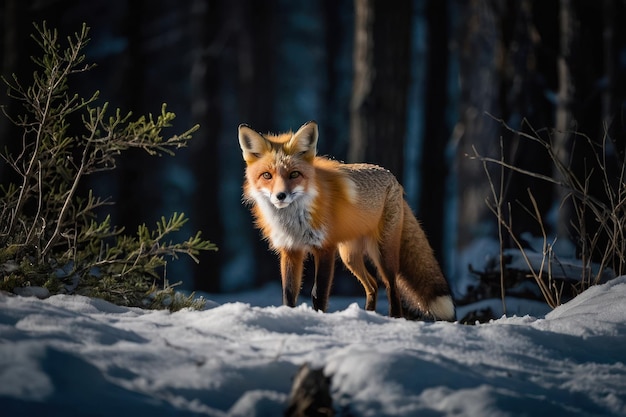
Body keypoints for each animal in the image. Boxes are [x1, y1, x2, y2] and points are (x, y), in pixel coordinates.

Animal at [238, 118, 454, 320]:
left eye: (294, 174)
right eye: (267, 175)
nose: (280, 196)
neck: (294, 221)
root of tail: (393, 179)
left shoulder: (325, 248)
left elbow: (318, 293)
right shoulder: (290, 250)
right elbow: (289, 295)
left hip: (383, 253)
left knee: (392, 288)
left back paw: (394, 318)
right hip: (349, 256)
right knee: (373, 285)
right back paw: (368, 315)